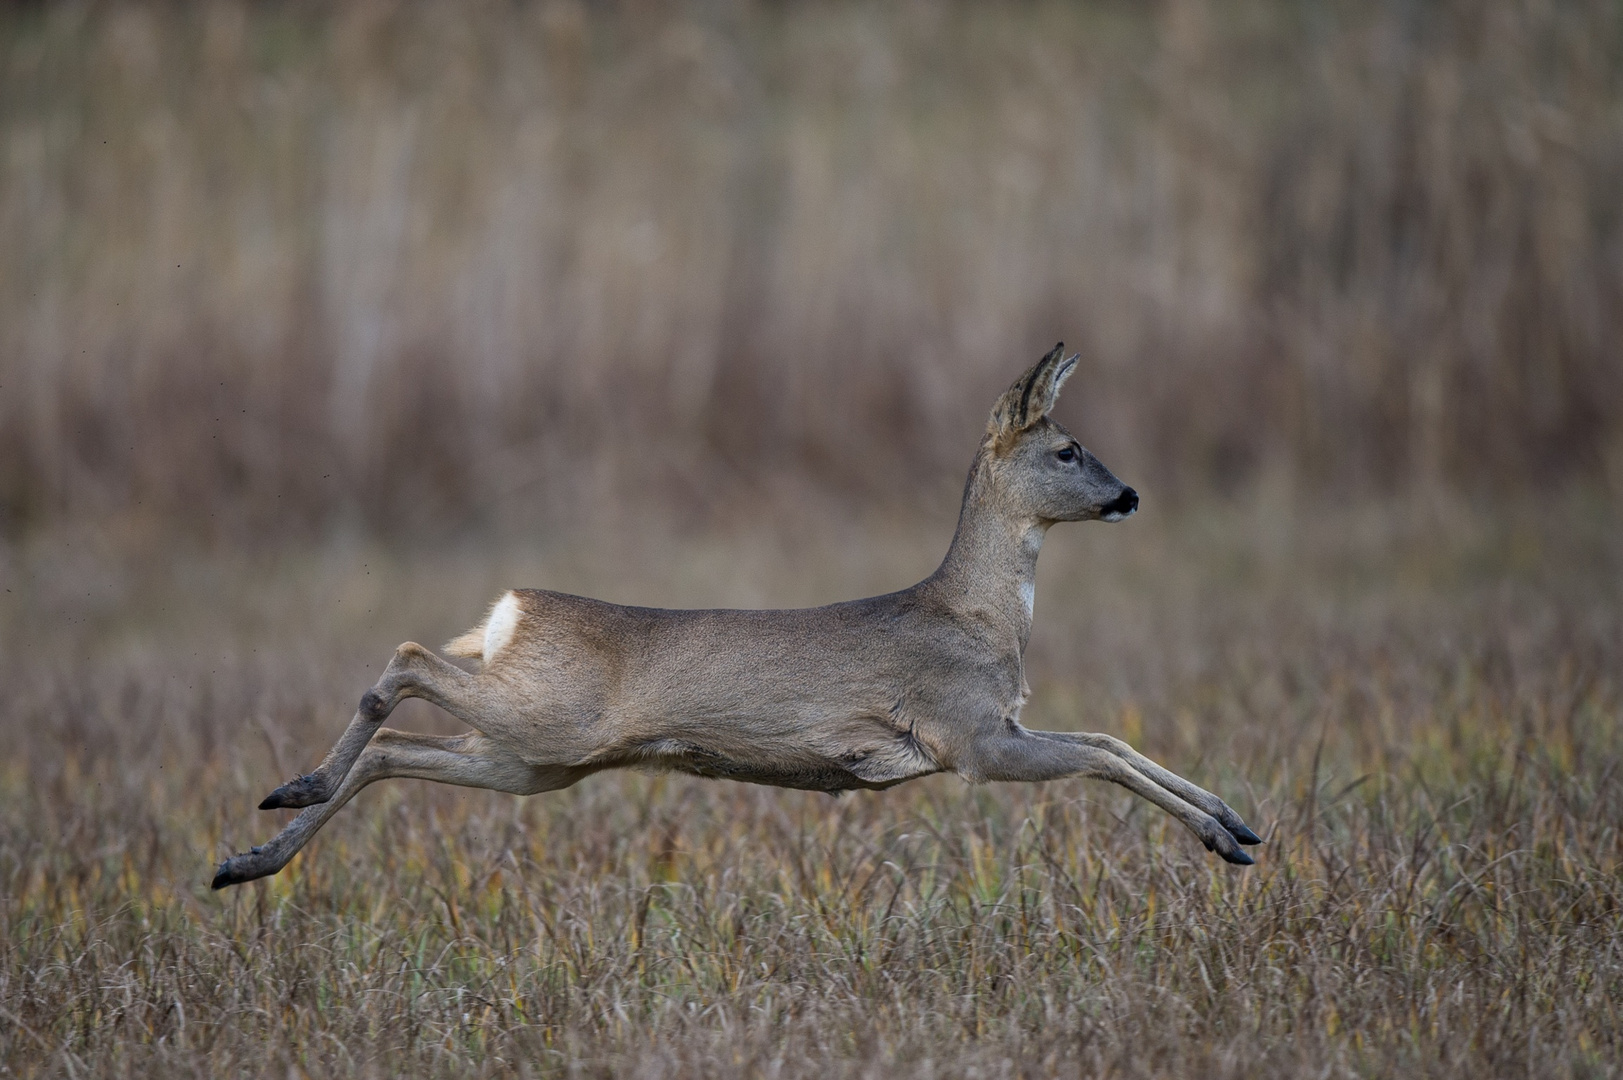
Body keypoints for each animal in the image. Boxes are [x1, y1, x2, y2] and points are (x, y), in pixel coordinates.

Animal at [209, 341, 1259, 889]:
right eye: (1069, 449)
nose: (1129, 495)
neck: (979, 619)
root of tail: (511, 609)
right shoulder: (967, 737)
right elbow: (1097, 754)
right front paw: (1222, 835)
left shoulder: (993, 729)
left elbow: (1108, 741)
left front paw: (1235, 823)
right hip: (546, 719)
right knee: (406, 656)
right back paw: (291, 793)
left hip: (530, 760)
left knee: (397, 747)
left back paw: (250, 855)